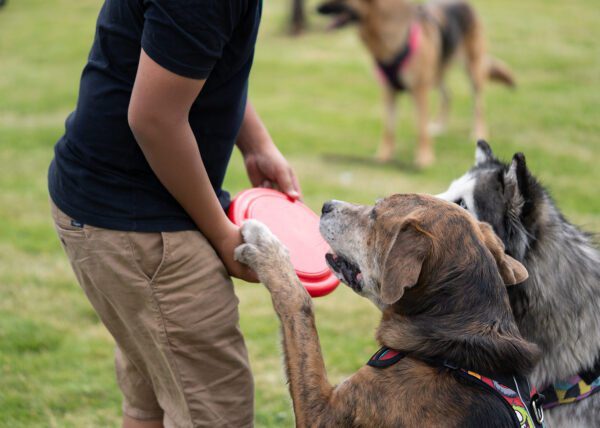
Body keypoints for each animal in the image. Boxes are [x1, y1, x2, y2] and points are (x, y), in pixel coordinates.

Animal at [316, 0, 512, 167]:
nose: (316, 8)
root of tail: (465, 4)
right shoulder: (388, 91)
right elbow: (388, 128)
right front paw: (383, 157)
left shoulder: (420, 91)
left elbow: (420, 128)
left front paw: (424, 159)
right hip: (437, 72)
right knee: (448, 95)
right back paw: (439, 126)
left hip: (472, 69)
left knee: (478, 104)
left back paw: (477, 132)